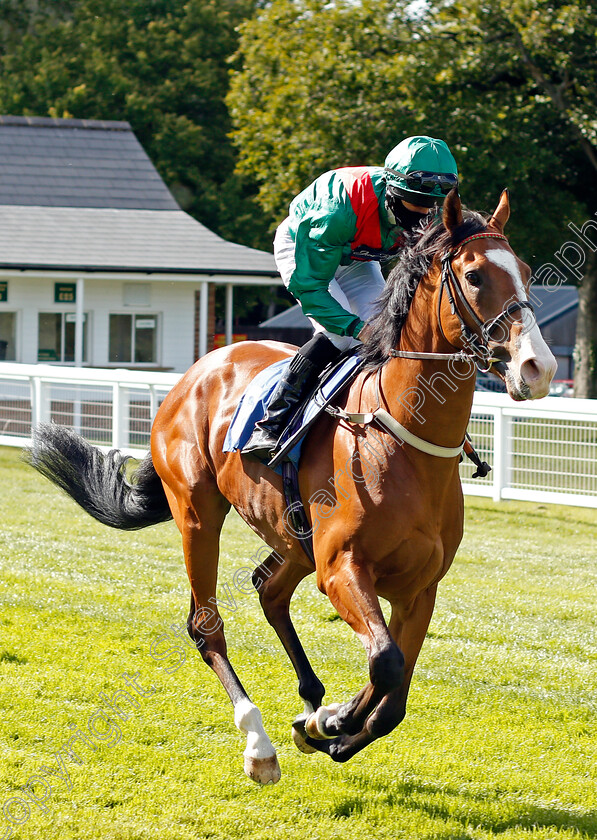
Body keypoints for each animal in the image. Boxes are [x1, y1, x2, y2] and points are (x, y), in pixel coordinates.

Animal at [30, 187, 556, 784]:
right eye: (473, 276)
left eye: (525, 272)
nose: (537, 368)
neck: (404, 443)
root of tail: (200, 367)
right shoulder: (343, 568)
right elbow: (385, 662)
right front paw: (330, 722)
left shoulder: (420, 587)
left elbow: (392, 697)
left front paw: (327, 724)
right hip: (198, 514)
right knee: (205, 625)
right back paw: (259, 743)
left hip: (291, 538)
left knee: (269, 590)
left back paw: (311, 699)